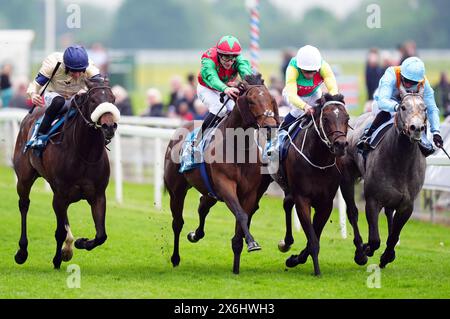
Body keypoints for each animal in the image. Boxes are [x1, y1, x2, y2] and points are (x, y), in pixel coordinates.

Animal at [13, 79, 119, 268]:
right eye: (93, 100)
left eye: (113, 99)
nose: (109, 126)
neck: (85, 153)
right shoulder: (61, 195)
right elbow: (60, 232)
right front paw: (57, 259)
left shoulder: (98, 195)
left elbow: (101, 235)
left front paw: (80, 243)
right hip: (24, 178)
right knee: (24, 205)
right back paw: (22, 252)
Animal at [163, 74, 280, 276]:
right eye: (251, 100)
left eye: (271, 99)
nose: (270, 126)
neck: (238, 147)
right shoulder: (225, 185)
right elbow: (241, 215)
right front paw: (253, 243)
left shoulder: (249, 193)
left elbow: (242, 222)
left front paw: (237, 265)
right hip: (177, 191)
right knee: (177, 223)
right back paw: (176, 258)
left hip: (210, 191)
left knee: (202, 206)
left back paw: (195, 235)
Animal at [274, 94, 352, 276]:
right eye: (325, 118)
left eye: (347, 118)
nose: (340, 145)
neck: (319, 160)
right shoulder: (303, 199)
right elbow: (312, 238)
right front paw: (316, 270)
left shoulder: (326, 204)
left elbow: (313, 238)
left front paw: (296, 258)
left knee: (287, 203)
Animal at [340, 84, 428, 268]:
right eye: (403, 107)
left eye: (424, 108)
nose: (416, 128)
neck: (401, 161)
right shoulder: (373, 200)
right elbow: (374, 240)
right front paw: (365, 250)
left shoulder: (407, 205)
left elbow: (394, 236)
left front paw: (387, 256)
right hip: (346, 178)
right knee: (352, 212)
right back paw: (360, 250)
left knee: (388, 213)